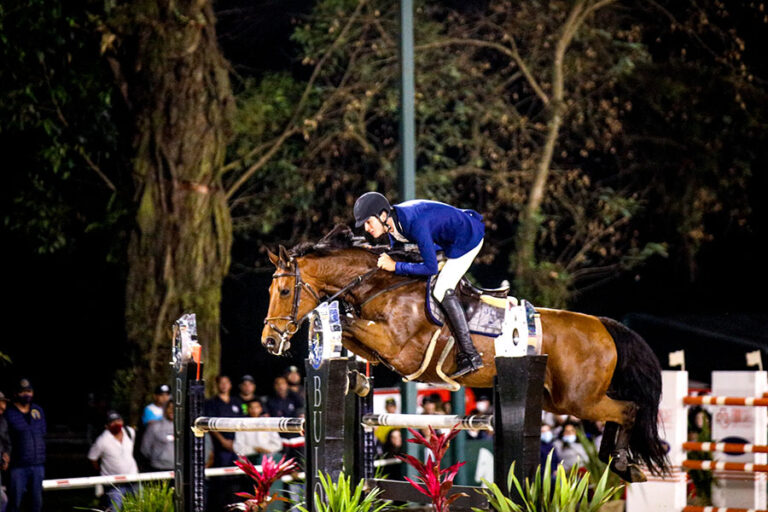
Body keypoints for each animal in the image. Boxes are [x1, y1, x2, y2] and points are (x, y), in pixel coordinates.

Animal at [260, 226, 668, 482]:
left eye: (284, 291)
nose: (269, 341)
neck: (381, 285)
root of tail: (603, 325)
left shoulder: (399, 347)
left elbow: (348, 325)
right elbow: (353, 336)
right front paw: (358, 380)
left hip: (578, 399)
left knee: (627, 410)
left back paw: (623, 464)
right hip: (559, 399)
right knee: (619, 412)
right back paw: (616, 461)